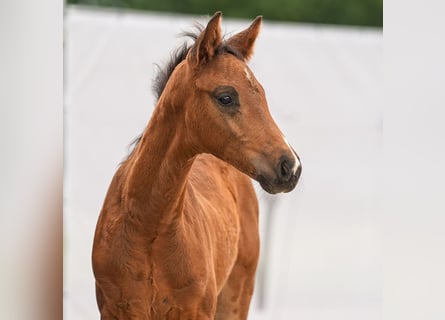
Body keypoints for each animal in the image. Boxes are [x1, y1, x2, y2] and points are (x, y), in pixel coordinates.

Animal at [93, 11, 302, 320]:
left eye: (262, 95)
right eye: (226, 97)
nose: (291, 166)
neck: (147, 225)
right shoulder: (114, 310)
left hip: (235, 299)